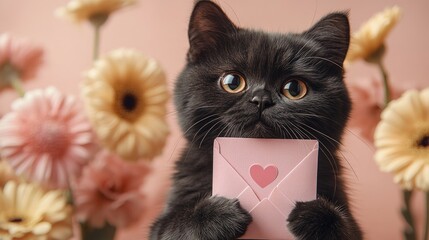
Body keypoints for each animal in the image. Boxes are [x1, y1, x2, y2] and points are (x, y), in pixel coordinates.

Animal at [150, 0, 362, 239]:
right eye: (232, 82)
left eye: (294, 88)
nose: (261, 99)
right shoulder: (162, 225)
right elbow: (176, 225)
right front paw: (220, 215)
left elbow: (345, 228)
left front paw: (315, 216)